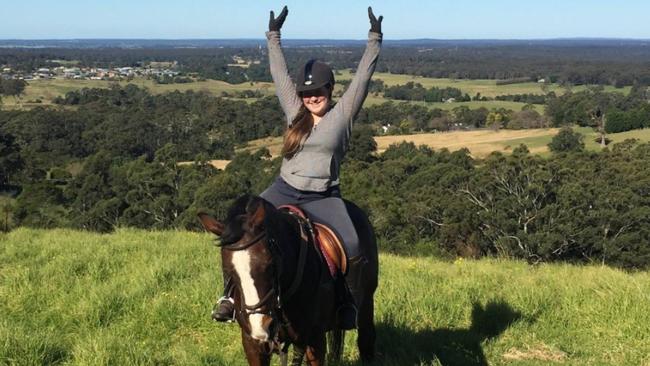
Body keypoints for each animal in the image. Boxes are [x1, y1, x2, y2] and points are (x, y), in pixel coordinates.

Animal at [200, 194, 378, 364]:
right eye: (227, 270)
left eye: (270, 264)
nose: (261, 326)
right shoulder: (252, 342)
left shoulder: (315, 338)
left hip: (366, 304)